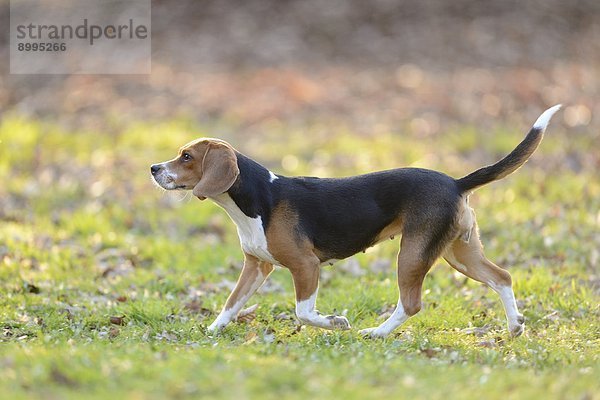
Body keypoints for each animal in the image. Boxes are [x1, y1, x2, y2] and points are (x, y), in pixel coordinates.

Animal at [151, 104, 564, 336]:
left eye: (186, 156)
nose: (153, 168)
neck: (255, 201)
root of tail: (455, 181)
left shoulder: (305, 266)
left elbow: (304, 312)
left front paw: (336, 323)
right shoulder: (256, 267)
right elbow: (231, 303)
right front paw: (211, 330)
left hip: (412, 254)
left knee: (411, 304)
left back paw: (377, 333)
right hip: (458, 252)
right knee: (502, 277)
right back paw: (514, 326)